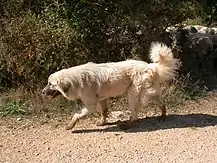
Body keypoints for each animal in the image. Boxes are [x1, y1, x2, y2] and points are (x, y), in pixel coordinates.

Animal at [41, 42, 179, 130]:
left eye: (50, 84)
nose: (42, 92)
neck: (75, 80)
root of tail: (151, 66)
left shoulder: (90, 105)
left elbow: (76, 114)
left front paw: (71, 125)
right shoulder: (102, 99)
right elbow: (104, 112)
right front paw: (102, 123)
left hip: (133, 95)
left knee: (135, 114)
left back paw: (127, 125)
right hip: (151, 93)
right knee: (162, 103)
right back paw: (163, 116)